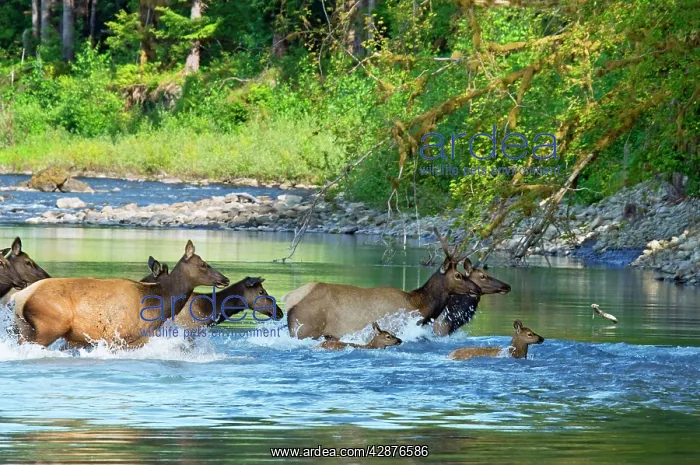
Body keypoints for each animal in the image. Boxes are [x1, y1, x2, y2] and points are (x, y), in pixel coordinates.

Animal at [11, 240, 229, 348]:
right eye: (203, 264)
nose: (225, 279)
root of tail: (20, 298)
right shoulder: (119, 337)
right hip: (49, 325)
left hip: (25, 328)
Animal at [285, 228, 482, 340]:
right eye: (458, 275)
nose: (478, 289)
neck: (419, 306)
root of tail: (288, 299)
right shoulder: (397, 325)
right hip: (305, 329)